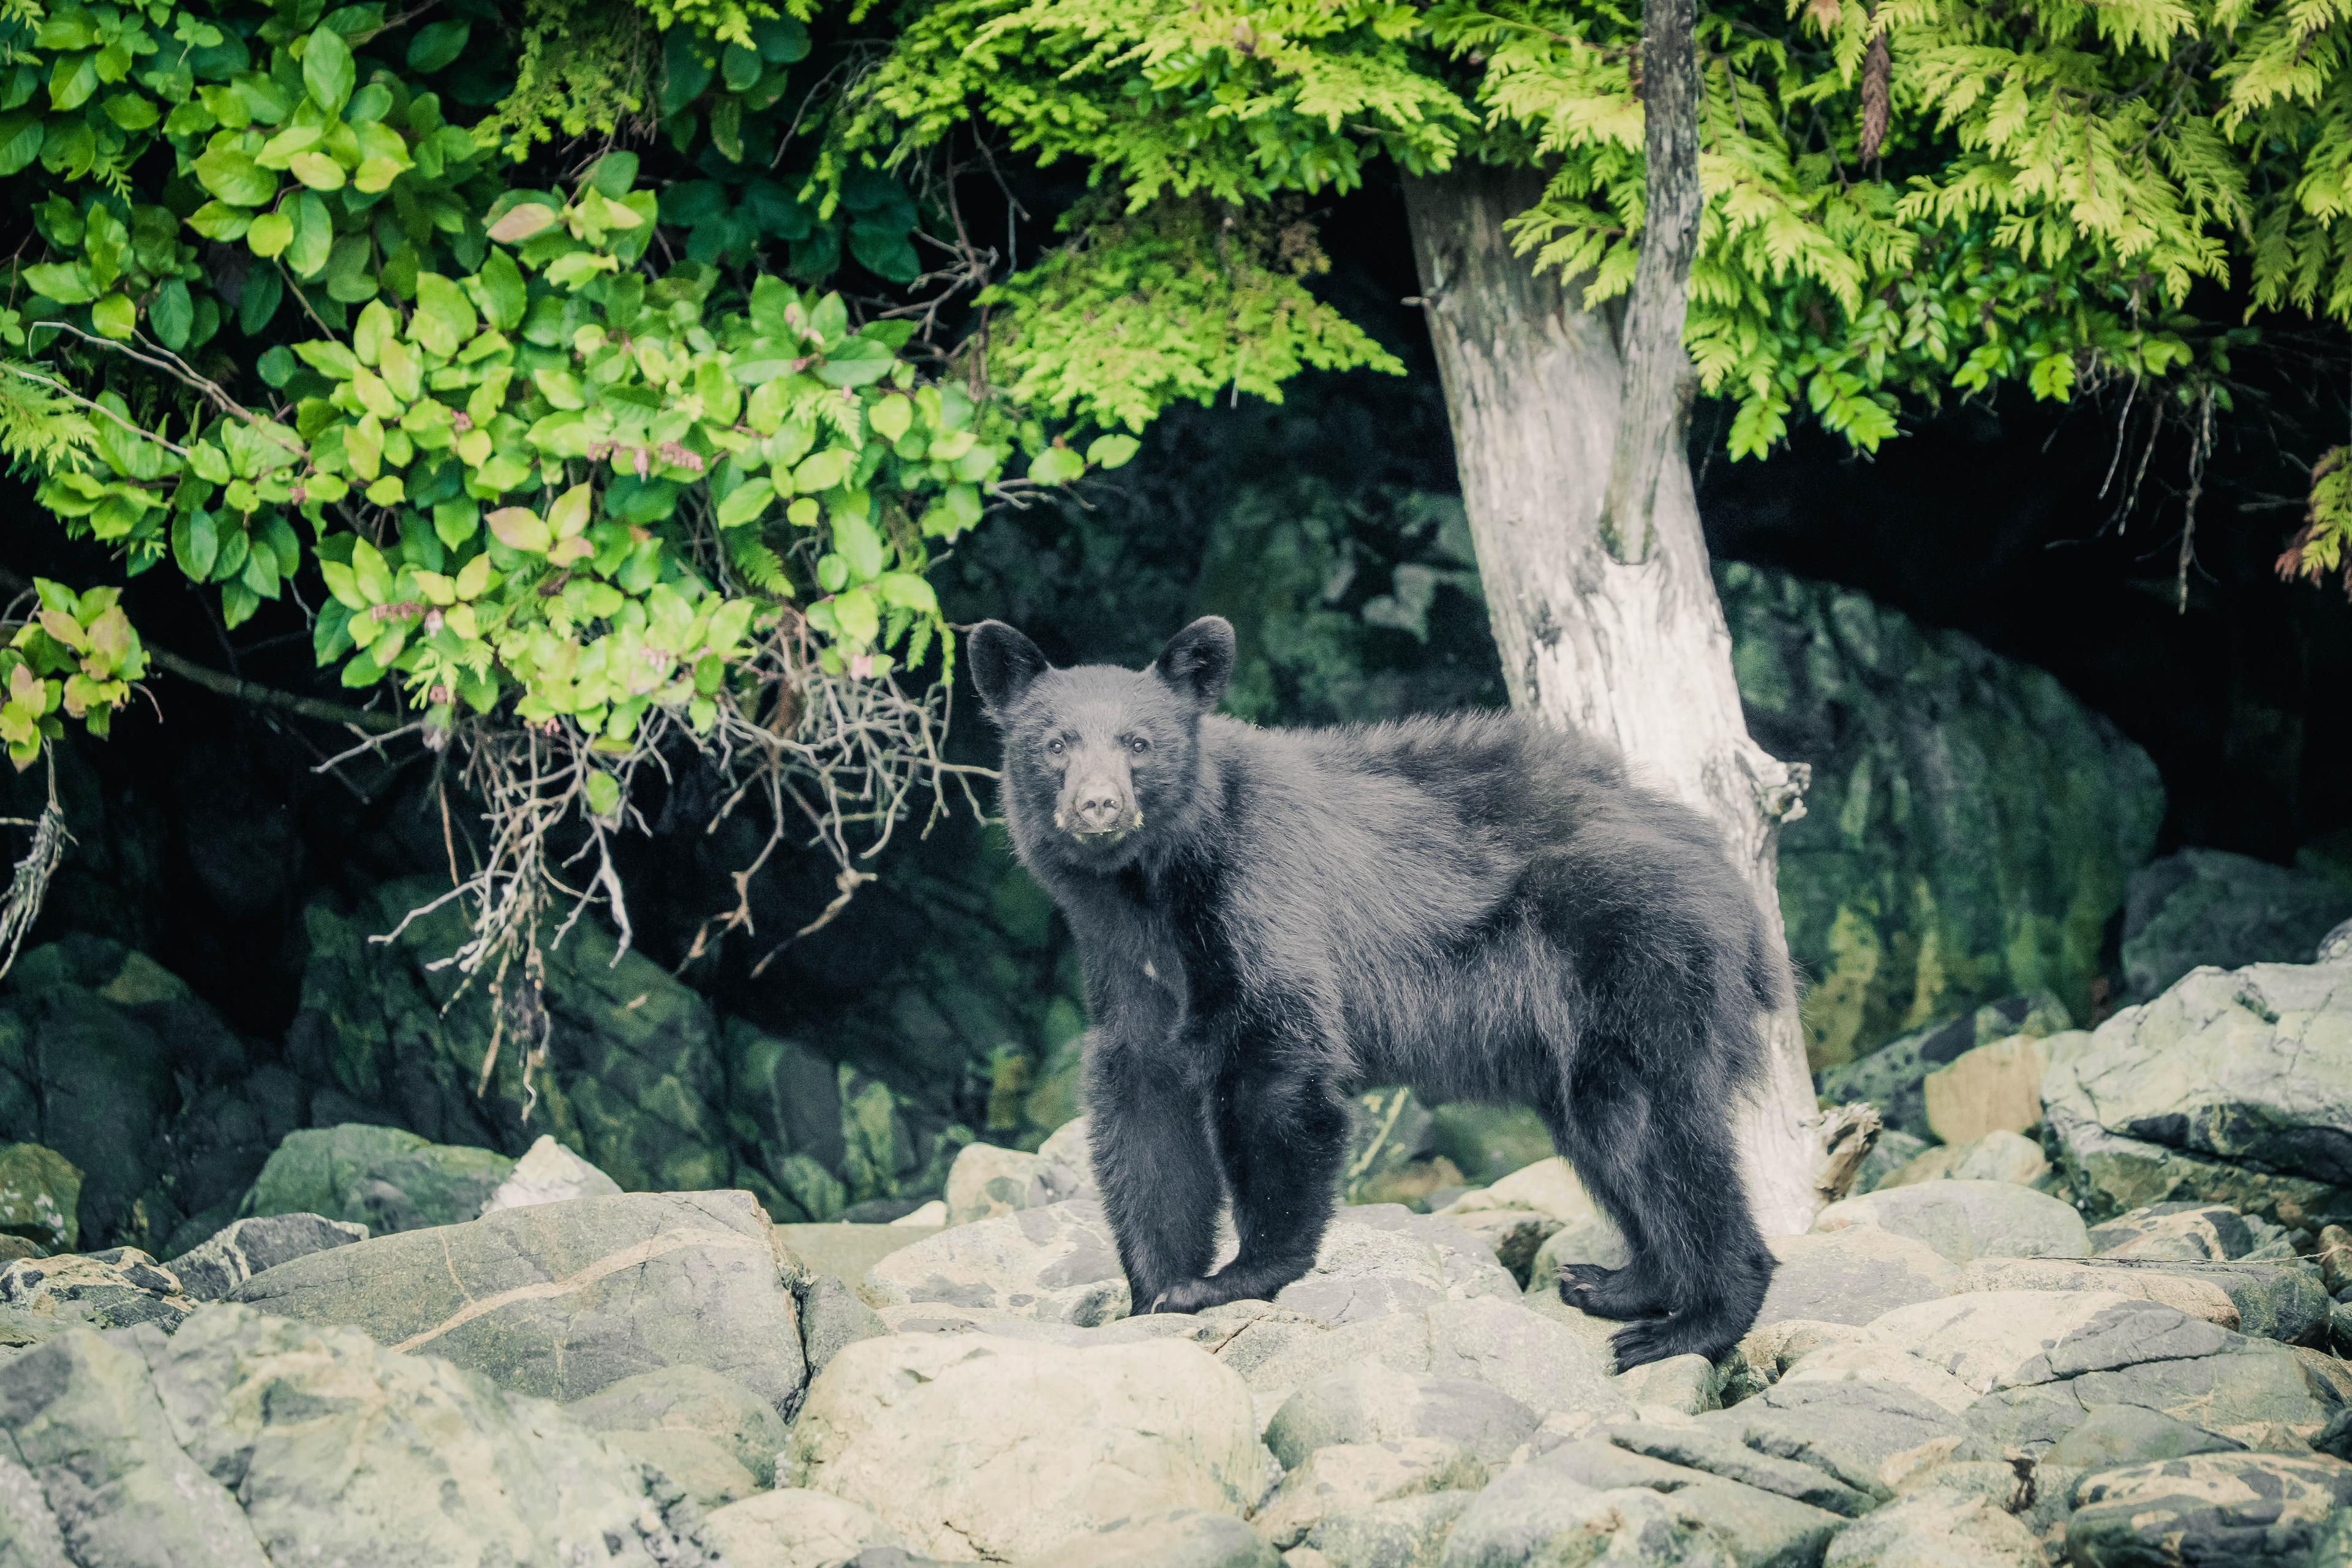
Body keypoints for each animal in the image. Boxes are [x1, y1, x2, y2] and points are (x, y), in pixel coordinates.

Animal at [968, 614, 1787, 1367]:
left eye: (1138, 743)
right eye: (1056, 743)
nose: (1098, 806)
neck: (1154, 885)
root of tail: (1726, 874)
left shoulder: (1257, 889)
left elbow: (1278, 1063)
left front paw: (1235, 1275)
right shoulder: (1127, 960)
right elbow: (1142, 1100)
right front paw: (1151, 1289)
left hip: (1636, 954)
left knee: (1650, 1124)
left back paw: (1694, 1319)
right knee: (1606, 1138)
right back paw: (1618, 1282)